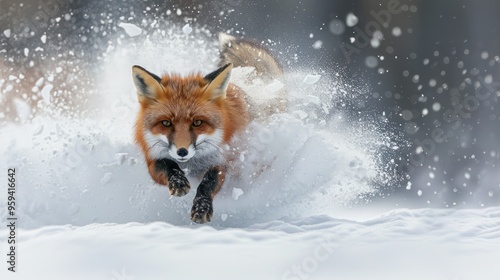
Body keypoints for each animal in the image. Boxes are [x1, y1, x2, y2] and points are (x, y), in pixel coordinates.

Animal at [131, 33, 284, 223]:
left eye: (198, 123)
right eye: (166, 123)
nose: (182, 151)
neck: (193, 163)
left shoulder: (221, 161)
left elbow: (207, 183)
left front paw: (201, 207)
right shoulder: (153, 159)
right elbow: (168, 165)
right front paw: (178, 181)